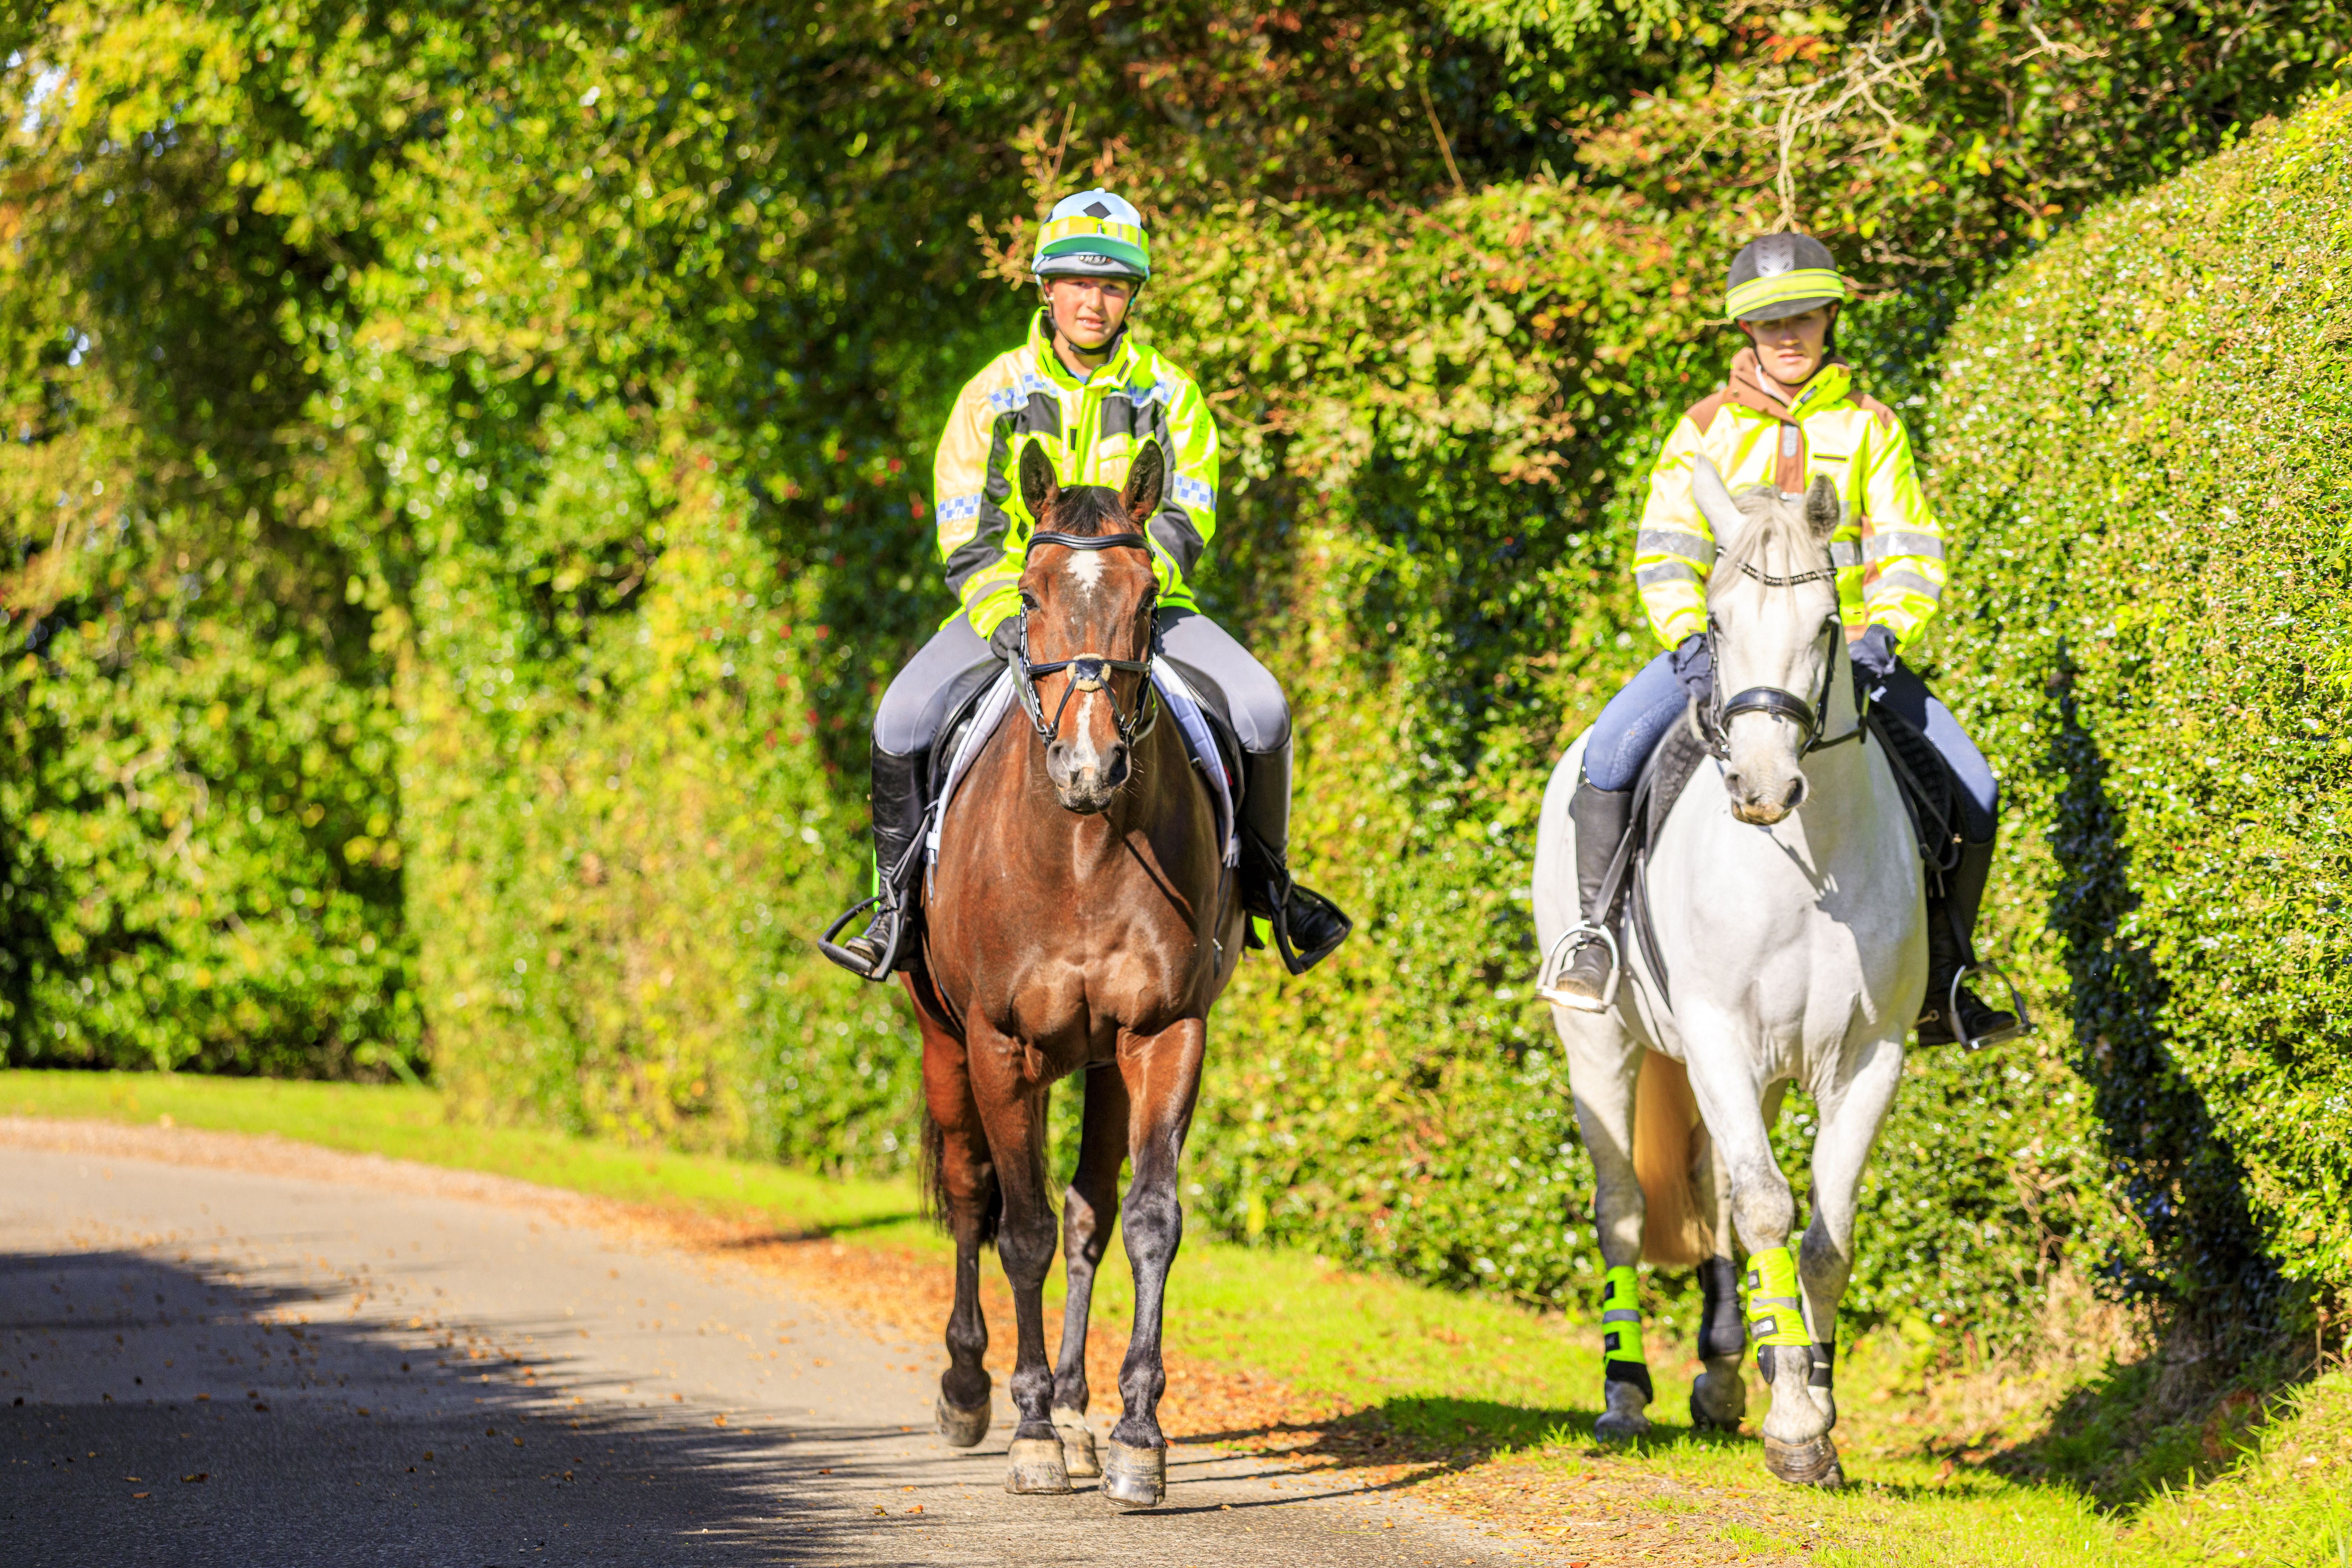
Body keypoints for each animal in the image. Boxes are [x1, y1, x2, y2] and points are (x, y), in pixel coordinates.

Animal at [904, 437, 1243, 1509]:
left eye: (1148, 595)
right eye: (1030, 593)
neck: (1084, 850)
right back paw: (971, 1390)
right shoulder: (997, 1043)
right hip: (945, 1041)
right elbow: (1018, 1231)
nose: (1089, 769)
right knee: (974, 1192)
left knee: (1090, 1215)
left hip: (1096, 1063)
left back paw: (1079, 1413)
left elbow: (1146, 1221)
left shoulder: (1165, 1036)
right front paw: (1028, 1438)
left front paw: (1135, 1435)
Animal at [1531, 460, 1927, 1488]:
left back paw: (1723, 1373)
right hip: (1602, 1042)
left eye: (1827, 624)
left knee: (1710, 1194)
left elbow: (1823, 1234)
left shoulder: (1869, 1059)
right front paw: (1794, 1427)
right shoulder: (1715, 1035)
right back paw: (1627, 1394)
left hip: (1763, 1073)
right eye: (1715, 619)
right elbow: (1763, 1207)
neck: (1805, 864)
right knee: (1625, 1206)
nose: (1760, 787)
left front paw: (1810, 1399)